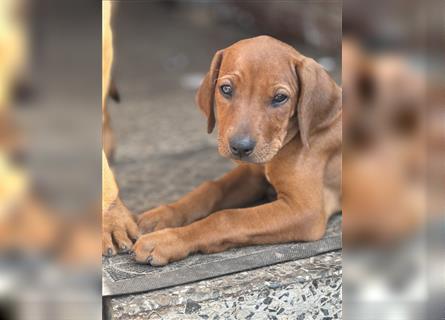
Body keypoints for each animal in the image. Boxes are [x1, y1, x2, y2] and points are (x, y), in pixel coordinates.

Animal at [132, 35, 340, 266]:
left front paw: (167, 239)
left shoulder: (305, 210)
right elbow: (210, 188)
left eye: (280, 98)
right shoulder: (253, 174)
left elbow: (226, 217)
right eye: (226, 89)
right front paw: (163, 214)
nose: (240, 147)